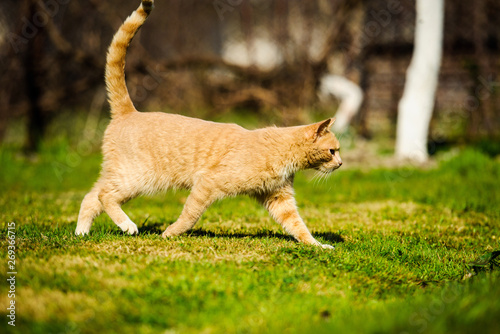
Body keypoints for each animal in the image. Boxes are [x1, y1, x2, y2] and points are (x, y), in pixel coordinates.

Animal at [74, 0, 342, 248]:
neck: (280, 150)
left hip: (120, 174)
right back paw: (128, 226)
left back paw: (81, 233)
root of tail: (129, 111)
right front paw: (170, 233)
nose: (340, 164)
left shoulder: (278, 198)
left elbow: (298, 226)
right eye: (332, 151)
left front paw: (318, 246)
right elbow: (190, 215)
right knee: (105, 195)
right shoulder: (207, 183)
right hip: (138, 178)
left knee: (90, 197)